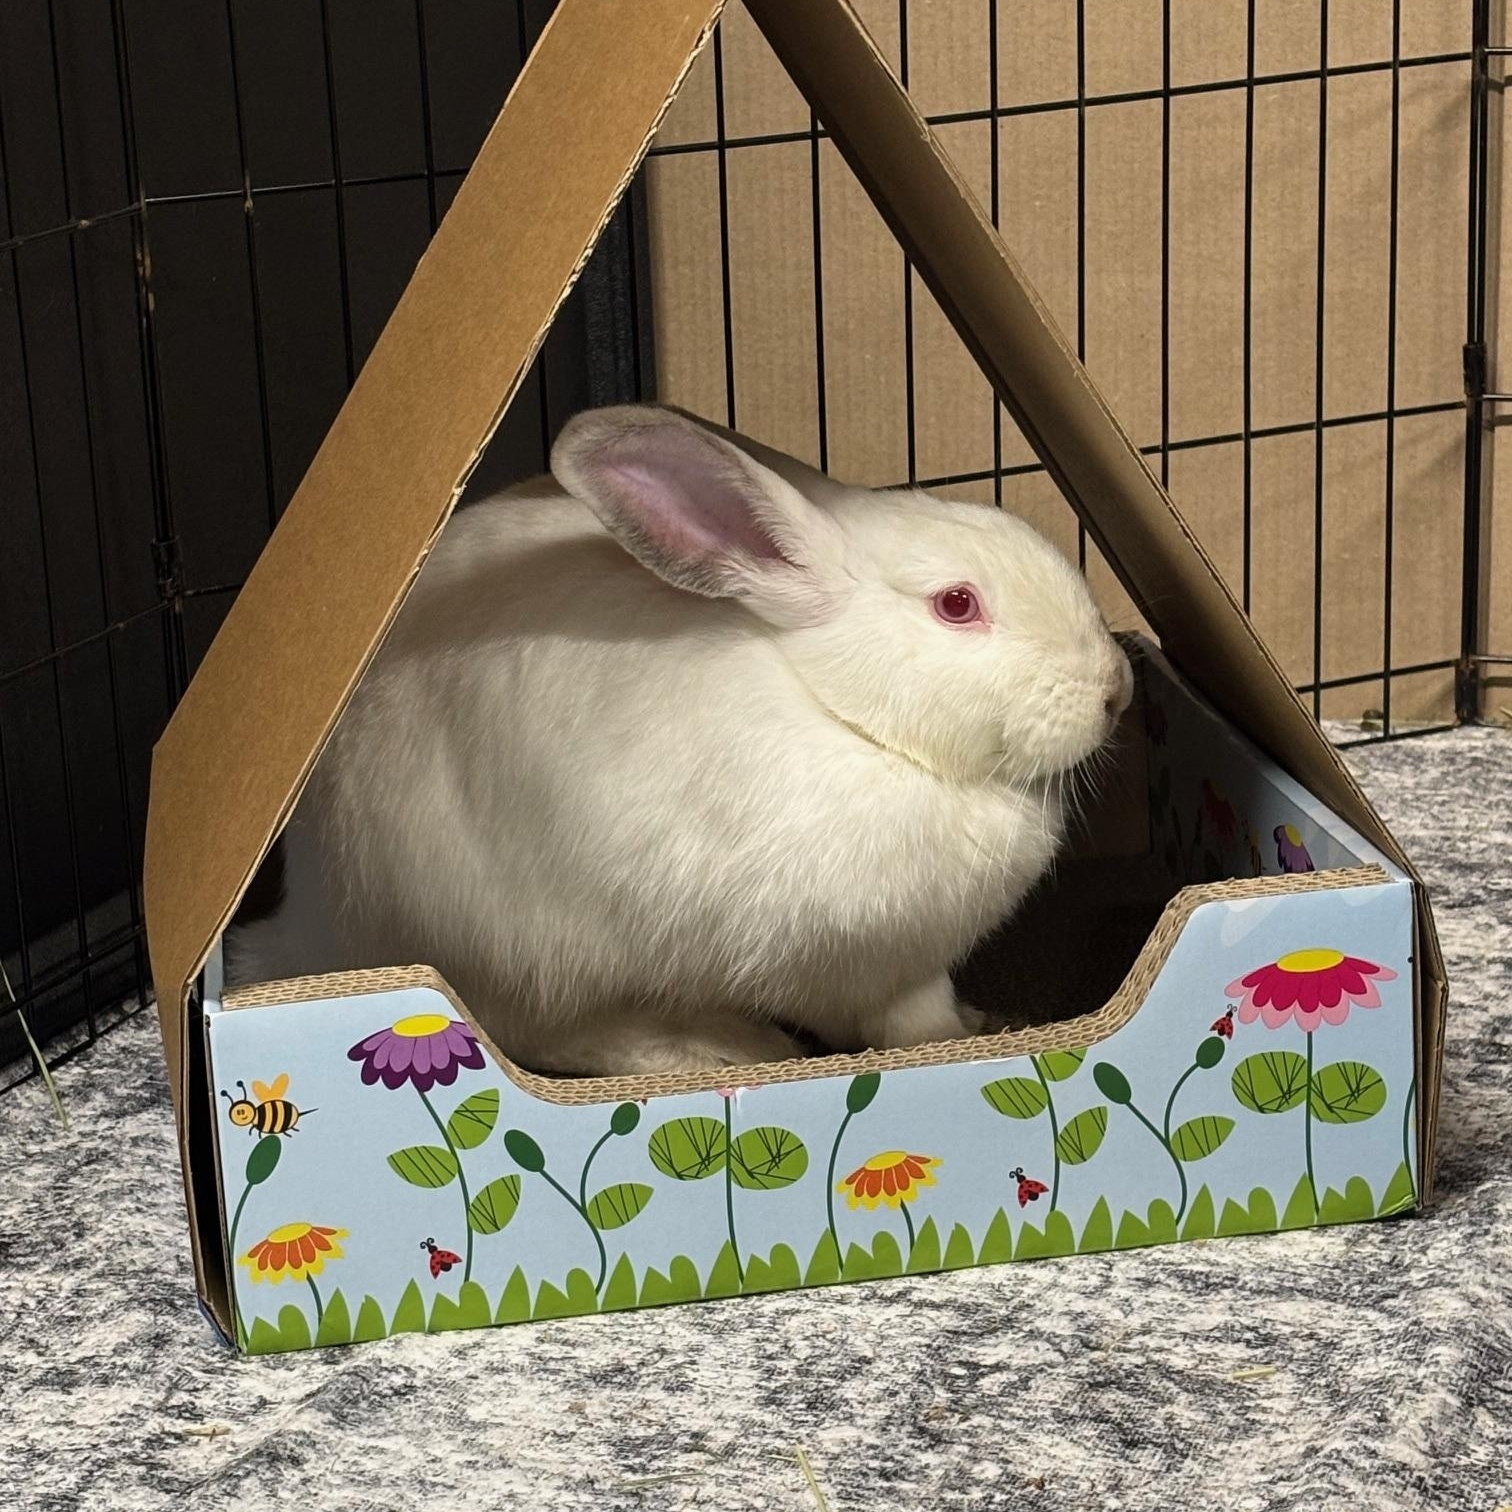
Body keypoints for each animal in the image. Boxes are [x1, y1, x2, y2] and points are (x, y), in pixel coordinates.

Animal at [225, 404, 1133, 1076]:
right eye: (956, 605)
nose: (1116, 687)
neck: (845, 718)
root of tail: (311, 923)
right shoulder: (860, 964)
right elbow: (910, 1022)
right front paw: (965, 1037)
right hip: (524, 953)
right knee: (546, 1034)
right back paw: (712, 1046)